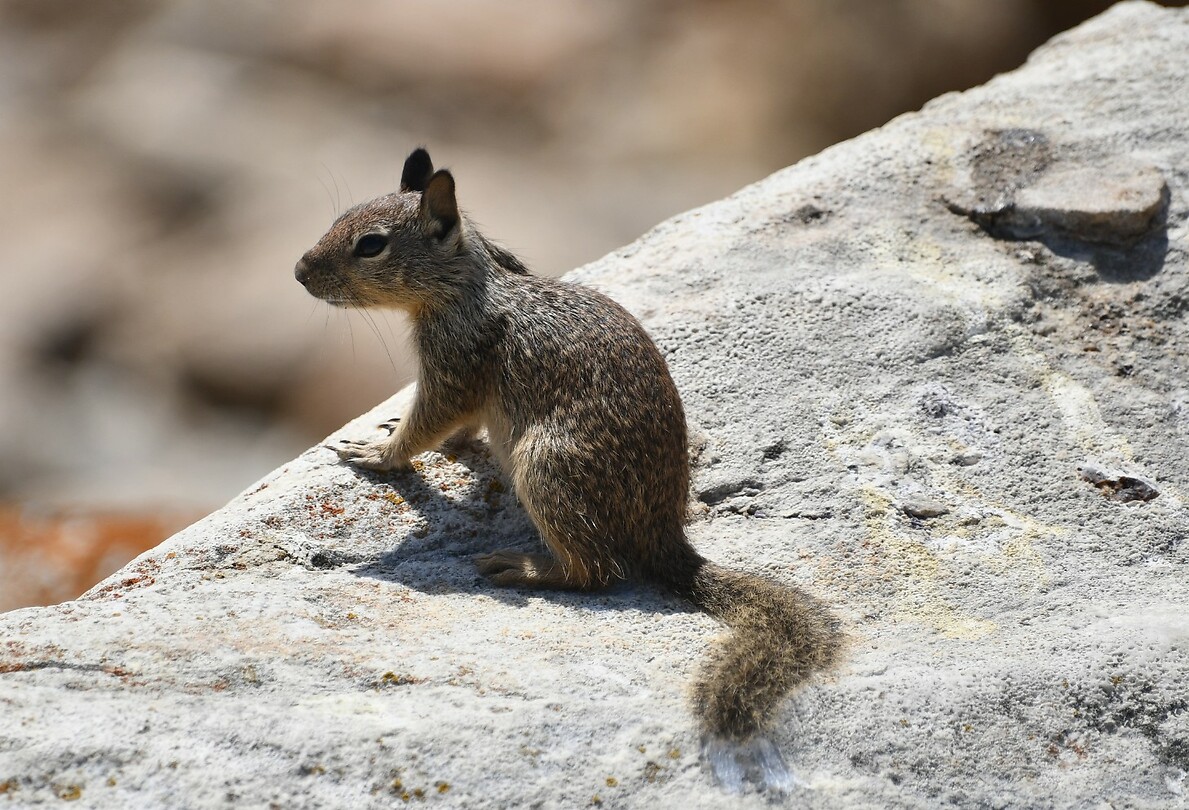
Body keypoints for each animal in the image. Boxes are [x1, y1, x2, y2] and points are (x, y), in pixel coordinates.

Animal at [295, 148, 840, 793]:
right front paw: (442, 446)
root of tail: (665, 539)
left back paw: (524, 567)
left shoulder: (453, 366)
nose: (299, 271)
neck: (466, 283)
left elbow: (427, 422)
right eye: (342, 217)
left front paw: (377, 454)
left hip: (547, 470)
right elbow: (462, 428)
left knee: (596, 572)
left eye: (371, 244)